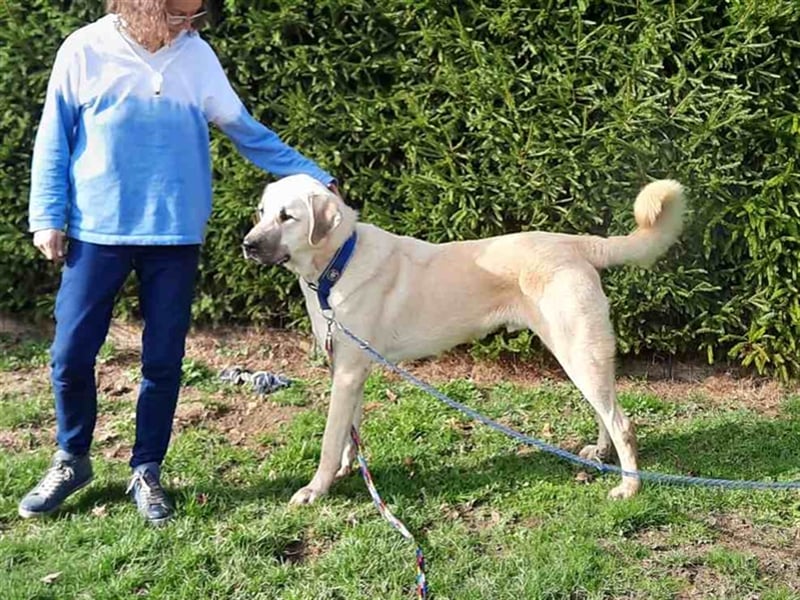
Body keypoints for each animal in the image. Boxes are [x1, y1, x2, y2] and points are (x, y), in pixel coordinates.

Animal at [241, 176, 684, 504]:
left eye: (287, 216)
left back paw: (629, 485)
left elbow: (330, 439)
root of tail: (571, 242)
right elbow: (351, 430)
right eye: (262, 212)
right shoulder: (349, 371)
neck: (338, 261)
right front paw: (348, 469)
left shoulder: (349, 372)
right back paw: (603, 455)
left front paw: (316, 488)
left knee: (622, 421)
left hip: (577, 351)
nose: (247, 245)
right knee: (605, 411)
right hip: (579, 354)